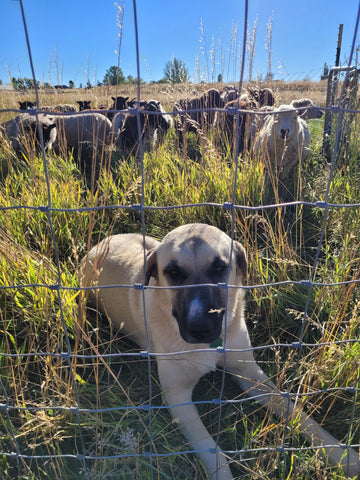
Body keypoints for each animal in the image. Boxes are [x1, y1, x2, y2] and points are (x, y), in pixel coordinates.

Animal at [79, 223, 360, 478]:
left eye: (220, 268)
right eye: (172, 272)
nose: (200, 328)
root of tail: (97, 246)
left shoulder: (251, 374)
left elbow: (297, 413)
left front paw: (344, 457)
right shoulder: (178, 397)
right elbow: (213, 452)